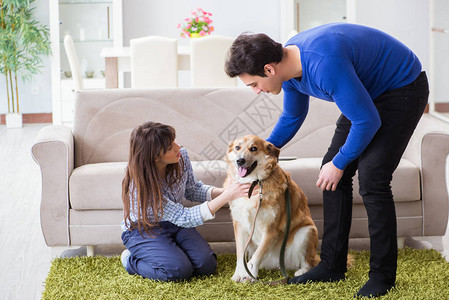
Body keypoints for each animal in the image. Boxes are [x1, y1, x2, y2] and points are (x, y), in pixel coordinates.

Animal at [224, 135, 318, 282]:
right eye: (237, 147)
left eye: (254, 148)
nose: (240, 161)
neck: (253, 183)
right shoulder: (239, 225)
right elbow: (240, 254)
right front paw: (239, 274)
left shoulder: (271, 229)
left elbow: (257, 255)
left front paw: (250, 274)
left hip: (306, 232)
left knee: (310, 262)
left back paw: (301, 272)